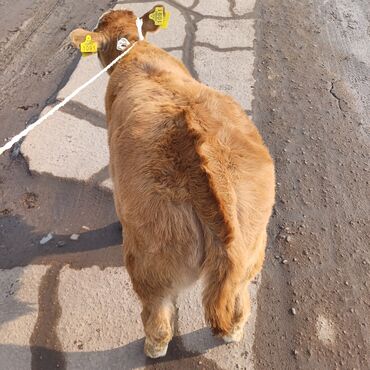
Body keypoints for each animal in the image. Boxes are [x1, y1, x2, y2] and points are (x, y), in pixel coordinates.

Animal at [71, 5, 274, 358]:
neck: (135, 53)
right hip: (252, 247)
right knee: (239, 303)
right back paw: (233, 332)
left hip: (151, 262)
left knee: (159, 317)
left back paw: (152, 349)